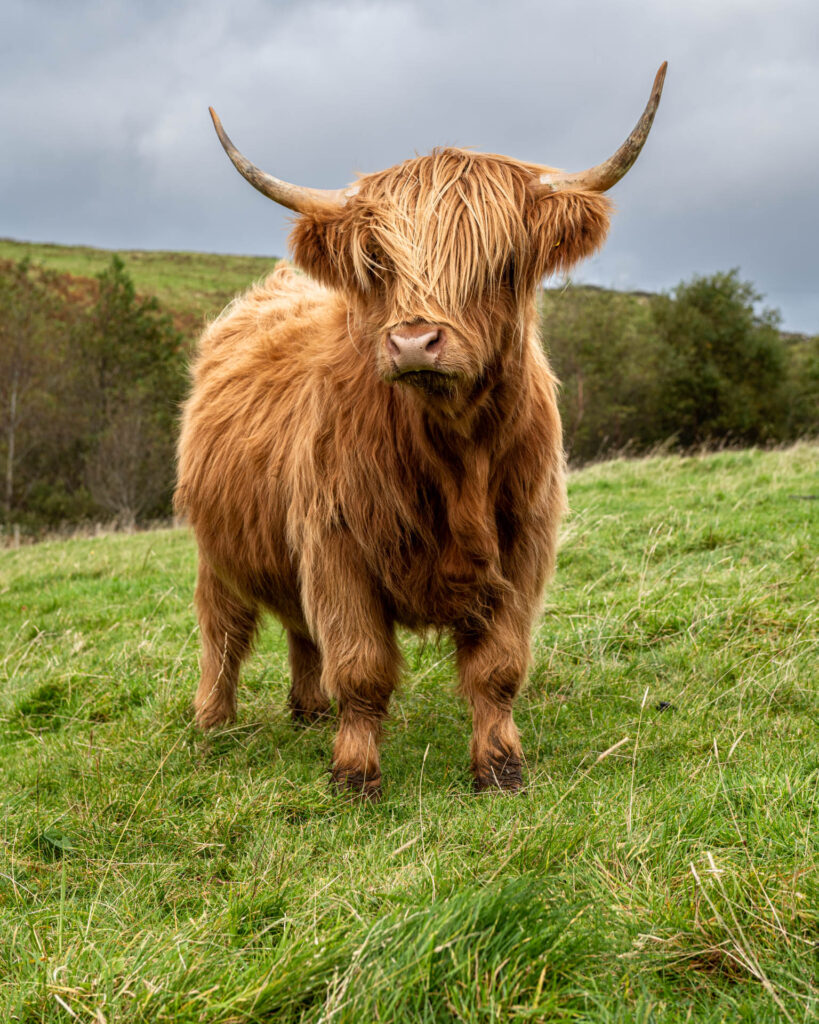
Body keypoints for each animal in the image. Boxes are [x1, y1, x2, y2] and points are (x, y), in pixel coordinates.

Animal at [176, 64, 667, 798]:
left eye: (500, 261)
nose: (413, 341)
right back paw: (213, 725)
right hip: (219, 552)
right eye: (379, 263)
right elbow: (360, 665)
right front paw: (354, 774)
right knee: (224, 633)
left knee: (297, 629)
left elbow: (498, 668)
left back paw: (308, 710)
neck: (454, 452)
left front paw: (500, 766)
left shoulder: (522, 546)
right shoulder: (335, 546)